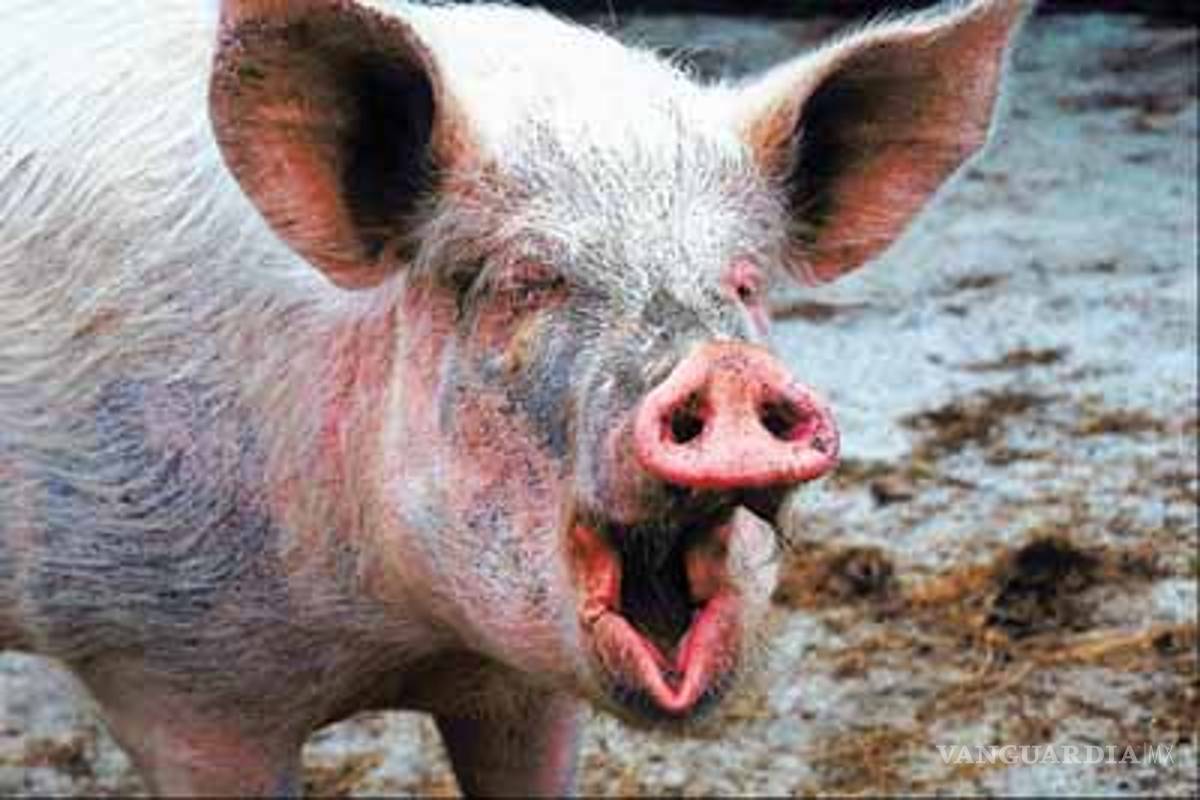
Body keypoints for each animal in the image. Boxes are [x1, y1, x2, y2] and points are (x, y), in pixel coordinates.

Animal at [0, 0, 1031, 794]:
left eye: (742, 282)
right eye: (527, 280)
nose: (727, 369)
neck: (401, 639)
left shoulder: (523, 692)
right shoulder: (171, 674)